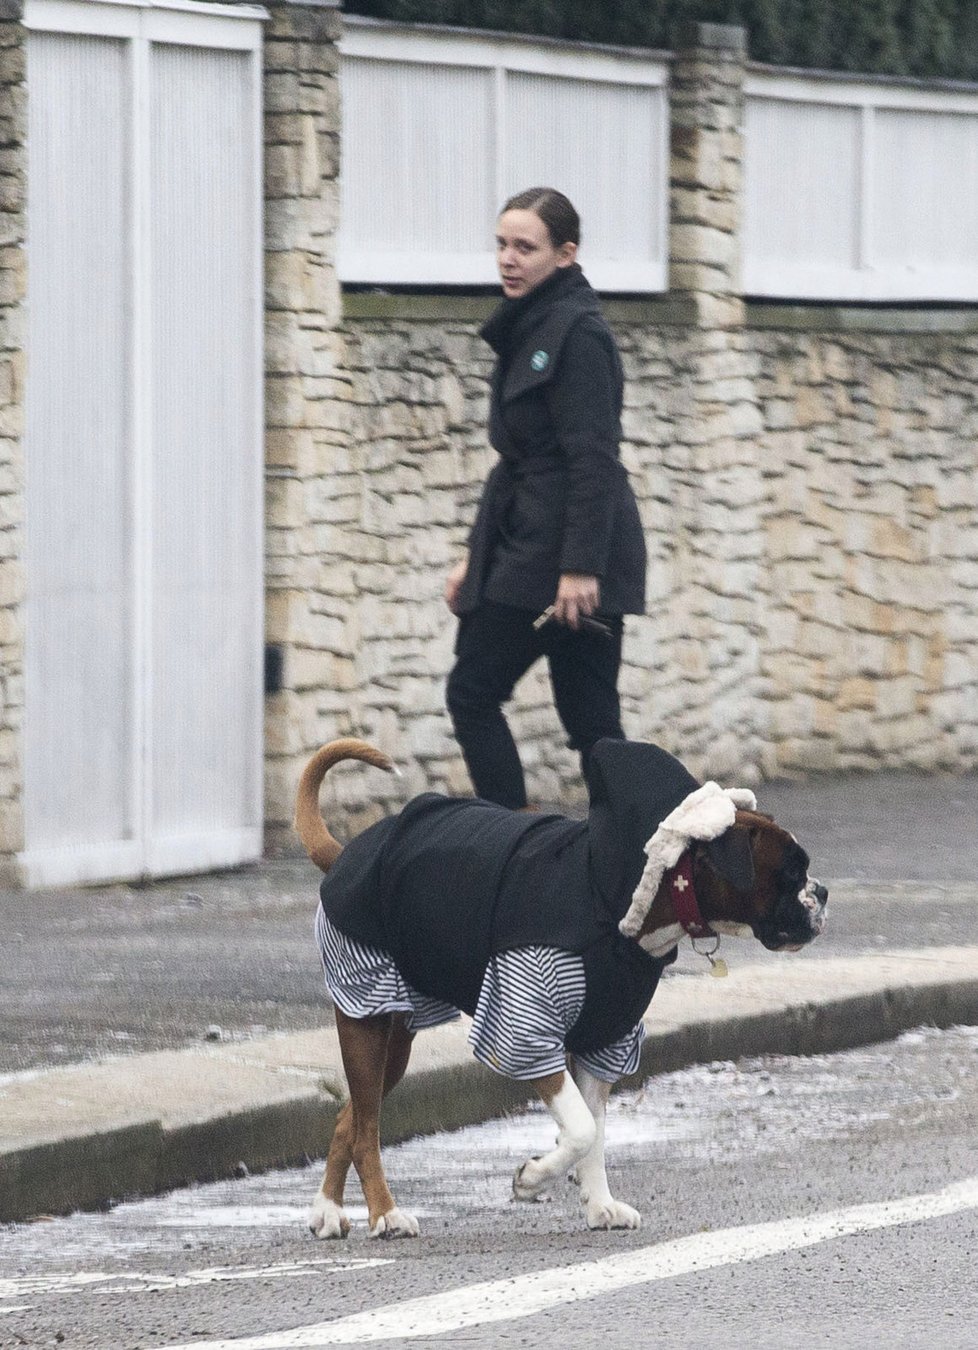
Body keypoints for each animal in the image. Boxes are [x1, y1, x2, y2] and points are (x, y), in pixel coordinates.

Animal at [295, 739, 826, 1236]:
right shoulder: (526, 1032)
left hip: (395, 1040)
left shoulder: (604, 1039)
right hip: (365, 1016)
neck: (625, 904)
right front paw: (531, 1179)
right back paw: (385, 1214)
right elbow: (581, 1129)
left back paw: (327, 1211)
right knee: (366, 1127)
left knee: (349, 1119)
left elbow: (594, 1130)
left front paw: (599, 1204)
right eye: (791, 871)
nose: (820, 891)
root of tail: (346, 854)